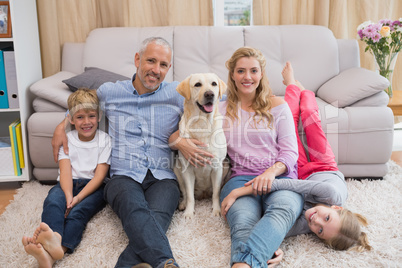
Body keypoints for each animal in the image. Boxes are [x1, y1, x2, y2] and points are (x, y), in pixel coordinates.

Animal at [174, 73, 228, 218]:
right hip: (177, 169)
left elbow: (216, 193)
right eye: (197, 84)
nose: (210, 94)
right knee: (185, 192)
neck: (201, 123)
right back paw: (183, 204)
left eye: (214, 84)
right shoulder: (187, 169)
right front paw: (188, 212)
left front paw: (216, 210)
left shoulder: (217, 167)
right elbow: (190, 195)